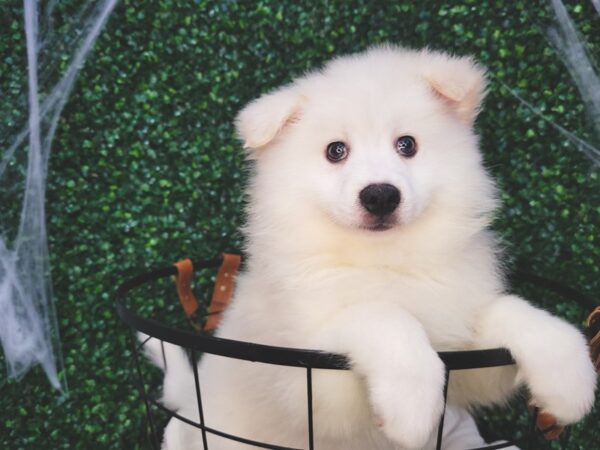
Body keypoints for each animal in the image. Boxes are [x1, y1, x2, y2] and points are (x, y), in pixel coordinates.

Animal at [144, 46, 596, 450]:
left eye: (407, 144)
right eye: (335, 151)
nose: (380, 195)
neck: (383, 261)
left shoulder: (466, 357)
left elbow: (508, 310)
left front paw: (567, 376)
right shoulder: (308, 382)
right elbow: (380, 315)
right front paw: (411, 405)